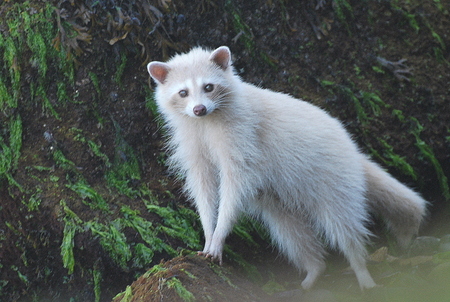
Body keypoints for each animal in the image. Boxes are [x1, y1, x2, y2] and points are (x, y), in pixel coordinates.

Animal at [146, 46, 428, 290]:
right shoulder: (193, 143)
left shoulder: (244, 136)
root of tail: (353, 150)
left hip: (335, 180)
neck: (206, 121)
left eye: (208, 86)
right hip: (280, 200)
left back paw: (361, 271)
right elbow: (202, 185)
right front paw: (207, 229)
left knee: (344, 227)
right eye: (183, 92)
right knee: (291, 233)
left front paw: (220, 234)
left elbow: (235, 186)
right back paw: (314, 269)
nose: (199, 108)